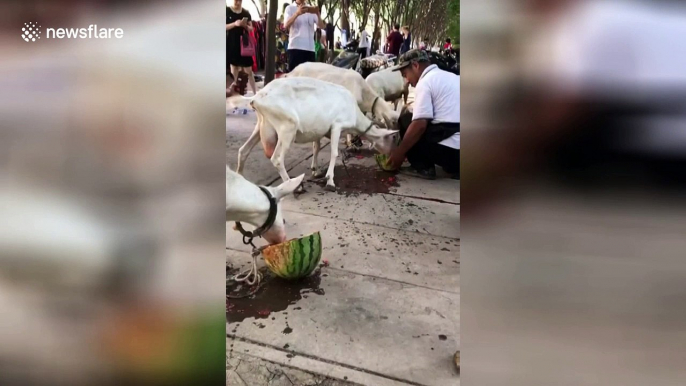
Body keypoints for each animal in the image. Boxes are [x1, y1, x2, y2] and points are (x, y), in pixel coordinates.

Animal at [235, 78, 398, 191]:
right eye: (392, 138)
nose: (390, 157)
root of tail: (257, 97)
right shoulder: (337, 126)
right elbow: (334, 153)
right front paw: (330, 181)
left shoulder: (320, 131)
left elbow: (316, 148)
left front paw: (316, 171)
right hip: (287, 127)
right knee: (277, 159)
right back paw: (295, 186)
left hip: (261, 126)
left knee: (243, 150)